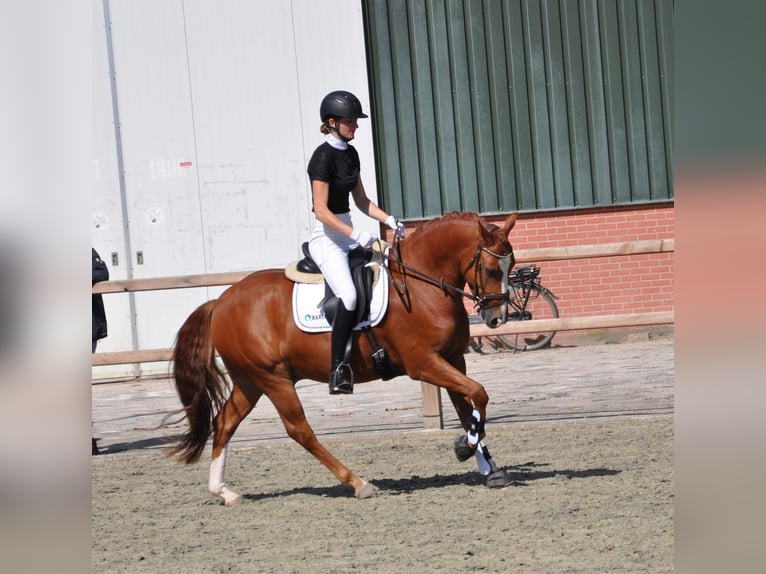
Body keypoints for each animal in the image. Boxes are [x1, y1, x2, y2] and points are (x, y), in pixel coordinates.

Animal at [170, 210, 519, 505]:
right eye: (490, 269)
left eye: (511, 267)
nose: (497, 318)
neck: (423, 284)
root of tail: (220, 302)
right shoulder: (424, 364)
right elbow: (479, 394)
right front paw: (465, 448)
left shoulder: (453, 358)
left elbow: (468, 408)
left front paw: (487, 467)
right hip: (273, 379)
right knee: (299, 430)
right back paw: (357, 482)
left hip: (250, 380)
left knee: (225, 422)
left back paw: (223, 492)